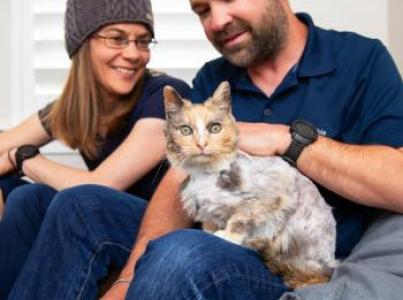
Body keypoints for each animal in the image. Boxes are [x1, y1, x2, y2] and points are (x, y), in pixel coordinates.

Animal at [162, 81, 338, 288]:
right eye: (185, 130)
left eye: (215, 128)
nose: (201, 144)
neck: (206, 175)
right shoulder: (208, 213)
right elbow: (210, 224)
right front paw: (212, 233)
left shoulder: (274, 194)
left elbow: (241, 217)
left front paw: (227, 236)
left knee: (314, 275)